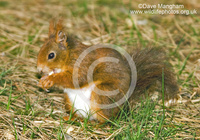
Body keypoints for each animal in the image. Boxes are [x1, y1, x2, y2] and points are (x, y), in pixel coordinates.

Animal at [36, 19, 179, 122]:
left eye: (51, 55)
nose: (39, 70)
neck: (69, 55)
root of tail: (123, 106)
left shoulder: (83, 64)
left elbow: (75, 78)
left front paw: (50, 80)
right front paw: (43, 81)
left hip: (103, 94)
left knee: (107, 121)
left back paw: (96, 125)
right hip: (70, 100)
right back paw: (72, 118)